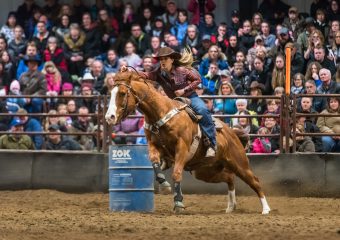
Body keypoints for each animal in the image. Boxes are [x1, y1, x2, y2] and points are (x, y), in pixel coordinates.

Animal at [105, 71, 270, 214]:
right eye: (111, 93)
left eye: (122, 93)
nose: (109, 117)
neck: (160, 113)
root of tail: (232, 134)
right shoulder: (154, 145)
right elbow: (154, 161)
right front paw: (164, 184)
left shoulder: (182, 147)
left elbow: (177, 173)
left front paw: (178, 202)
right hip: (205, 171)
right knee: (229, 178)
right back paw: (231, 206)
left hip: (239, 164)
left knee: (254, 181)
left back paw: (266, 209)